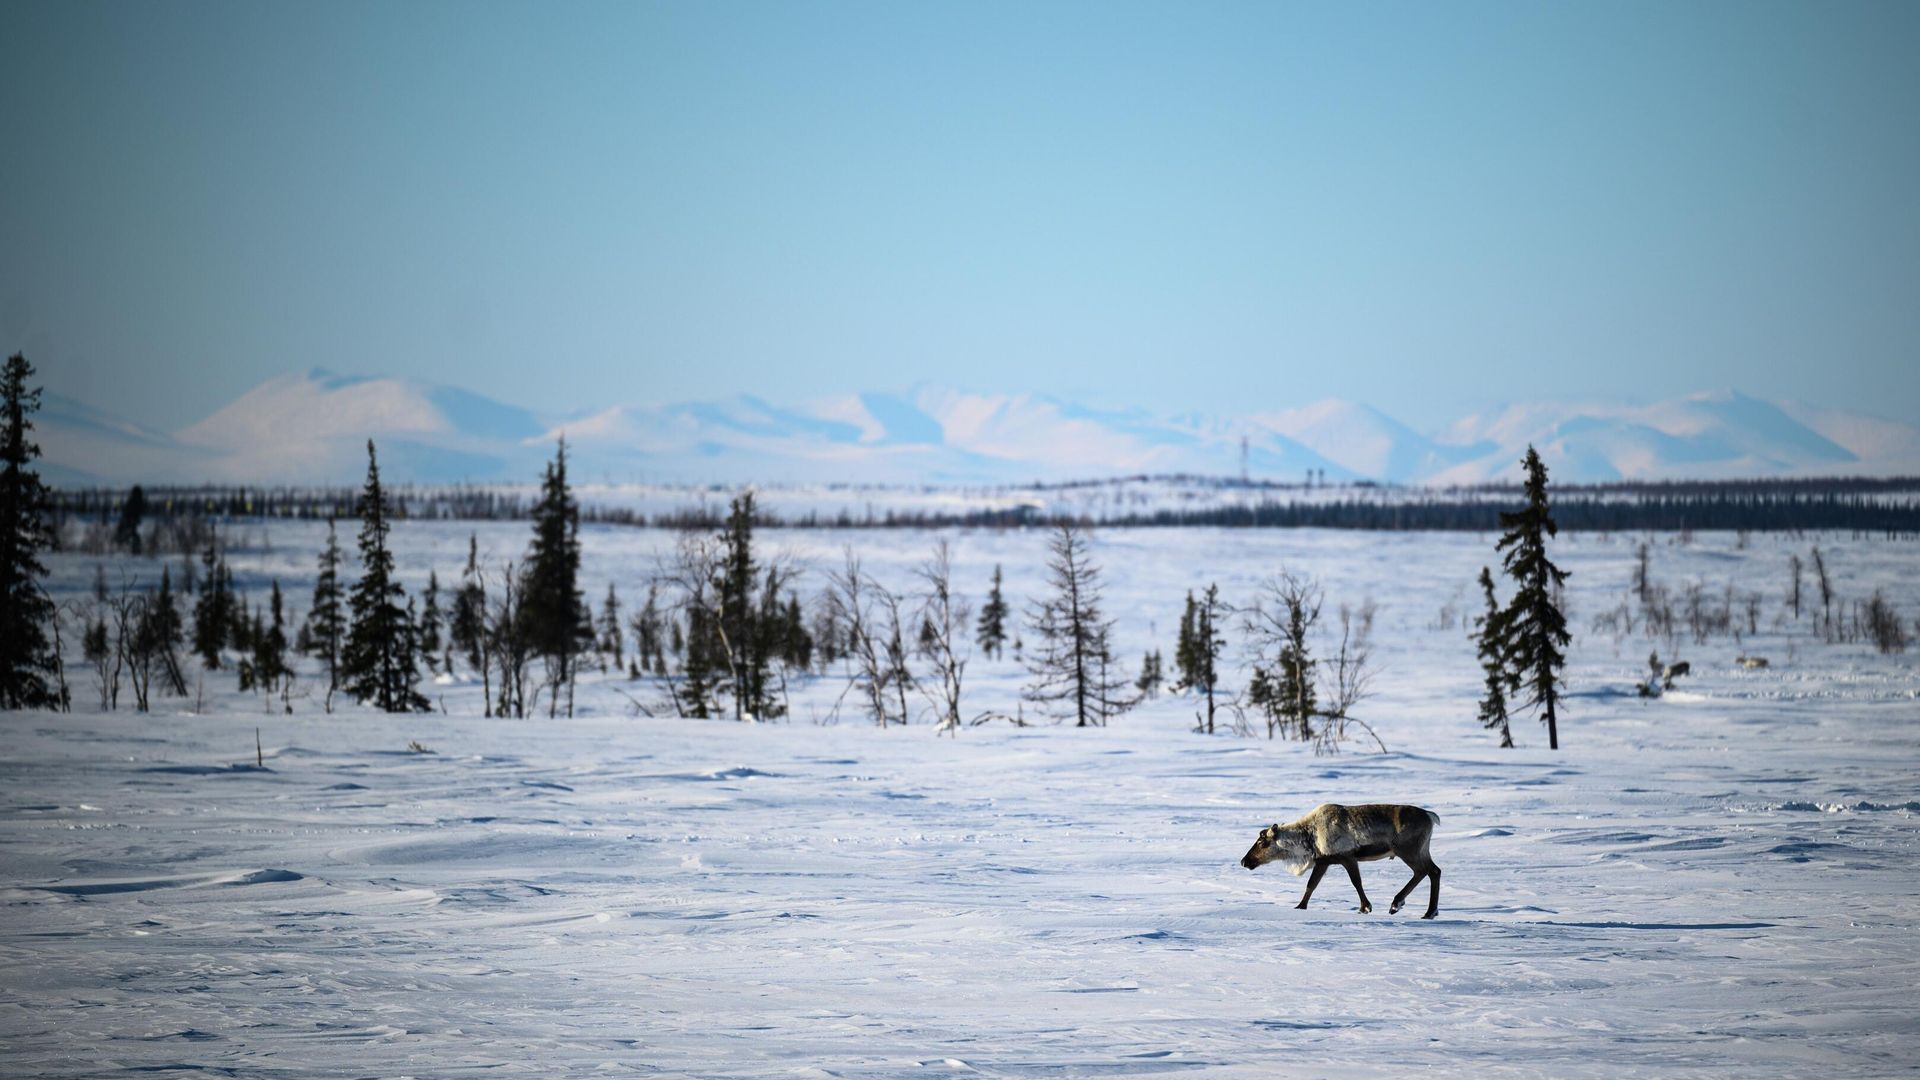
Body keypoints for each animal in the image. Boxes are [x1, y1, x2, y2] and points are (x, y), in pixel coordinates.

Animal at [1240, 803, 1442, 919]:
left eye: (1261, 842)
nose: (1244, 861)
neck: (1308, 837)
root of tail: (1431, 816)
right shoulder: (1323, 861)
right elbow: (1311, 885)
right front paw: (1300, 906)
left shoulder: (1348, 857)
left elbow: (1356, 882)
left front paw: (1365, 907)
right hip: (1421, 850)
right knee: (1434, 870)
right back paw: (1425, 910)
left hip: (1408, 850)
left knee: (1424, 871)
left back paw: (1402, 905)